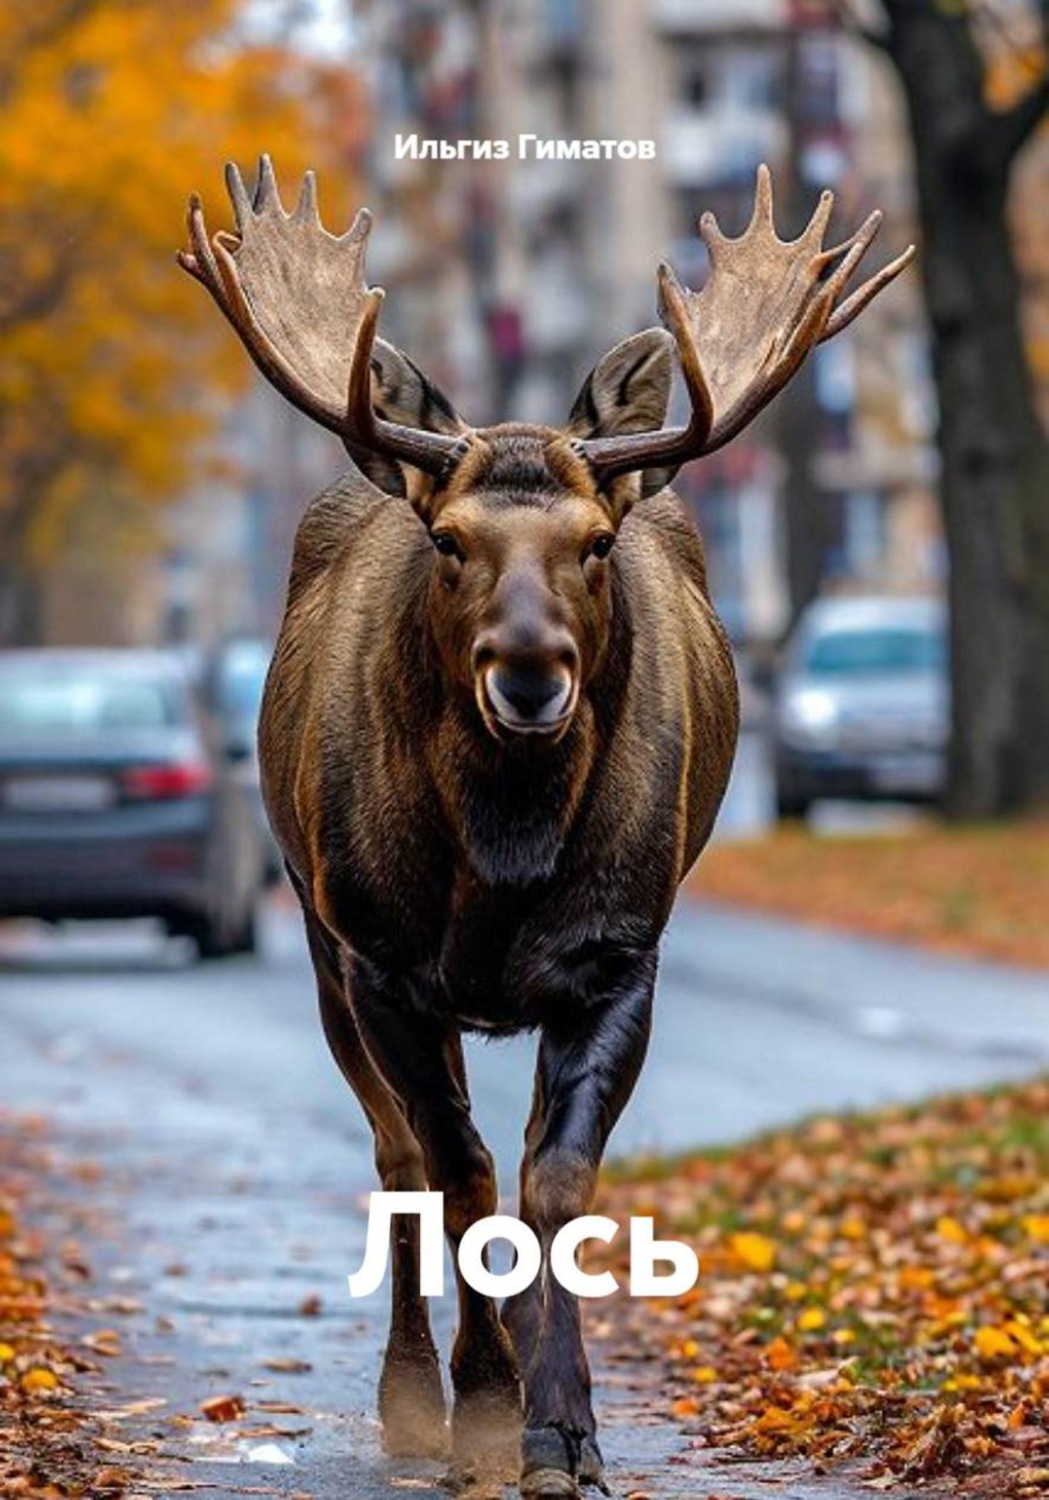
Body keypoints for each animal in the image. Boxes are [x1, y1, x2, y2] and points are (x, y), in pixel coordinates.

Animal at [179, 158, 912, 1500]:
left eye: (593, 543)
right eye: (449, 540)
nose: (527, 670)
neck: (502, 858)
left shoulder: (618, 956)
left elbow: (552, 1183)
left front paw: (561, 1426)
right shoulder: (379, 960)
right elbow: (456, 1174)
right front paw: (480, 1408)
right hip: (314, 935)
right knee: (396, 1158)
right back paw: (411, 1398)